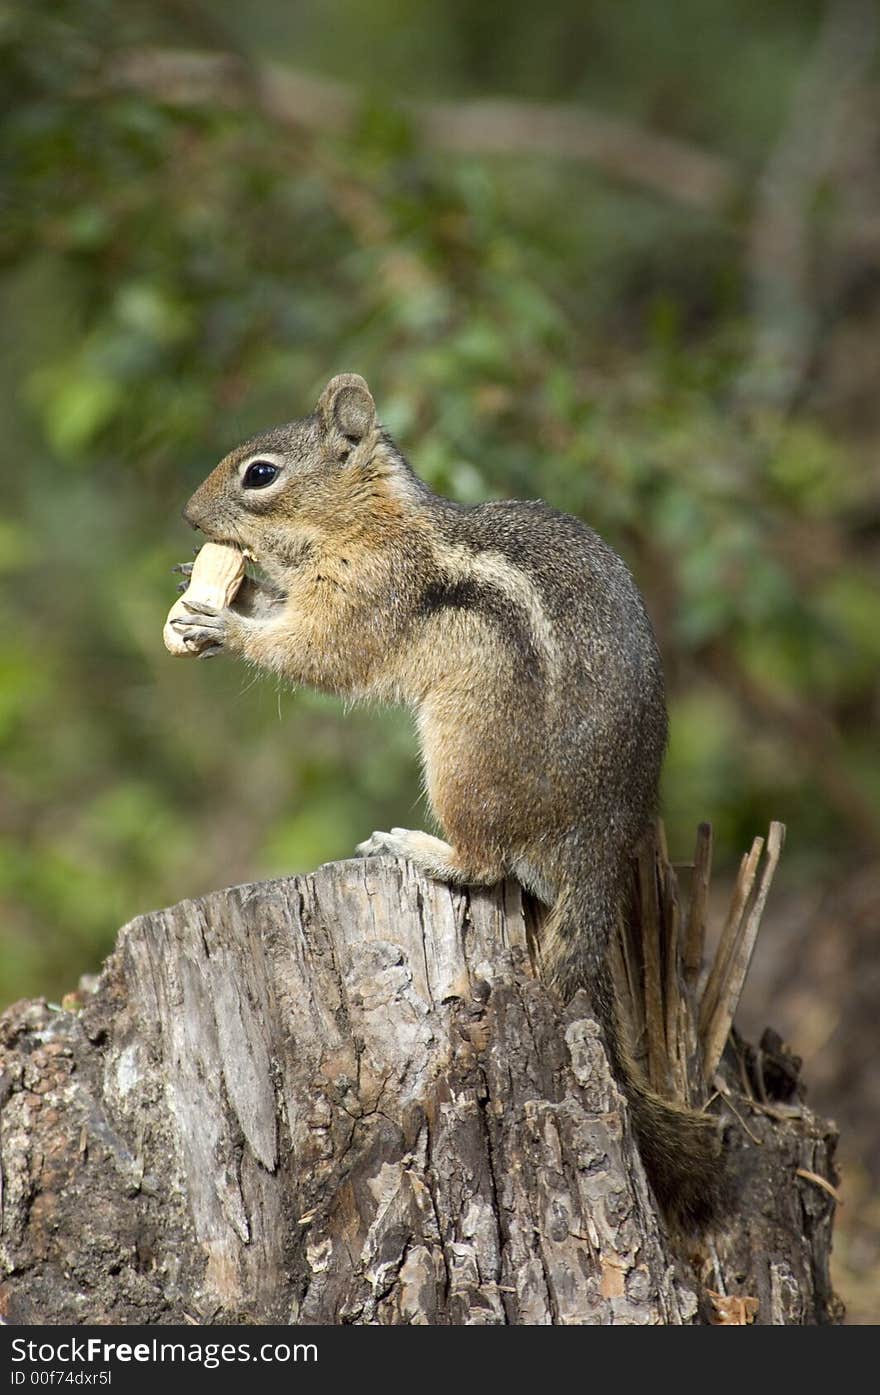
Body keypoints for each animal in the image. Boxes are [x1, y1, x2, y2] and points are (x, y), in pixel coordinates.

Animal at [172, 373, 730, 1233]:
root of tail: (599, 847)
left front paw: (223, 621)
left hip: (461, 757)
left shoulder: (369, 593)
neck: (368, 520)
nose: (190, 517)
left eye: (259, 475)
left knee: (485, 862)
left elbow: (320, 654)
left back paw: (415, 845)